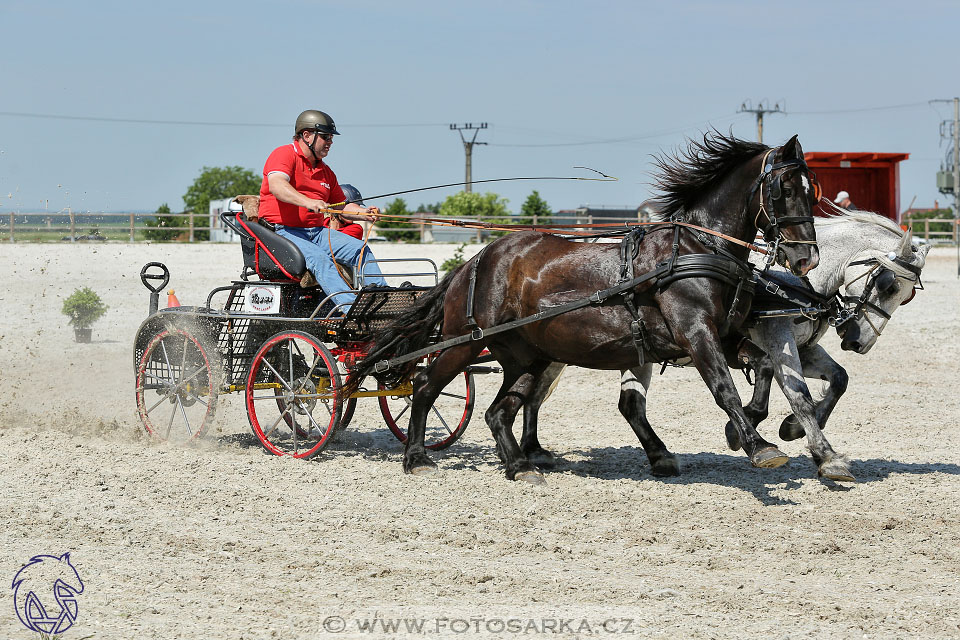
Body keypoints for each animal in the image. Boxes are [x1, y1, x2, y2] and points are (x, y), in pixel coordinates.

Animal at [348, 132, 820, 482]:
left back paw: (520, 465)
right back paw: (417, 458)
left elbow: (764, 367)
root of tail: (474, 261)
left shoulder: (723, 336)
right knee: (425, 385)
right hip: (464, 343)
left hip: (526, 356)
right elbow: (724, 388)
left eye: (811, 191)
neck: (697, 248)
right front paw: (758, 445)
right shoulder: (696, 334)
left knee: (499, 410)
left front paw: (764, 426)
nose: (806, 258)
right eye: (784, 189)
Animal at [524, 212, 928, 482]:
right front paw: (822, 454)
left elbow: (838, 379)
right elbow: (794, 392)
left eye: (908, 296)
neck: (794, 281)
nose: (859, 341)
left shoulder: (800, 347)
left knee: (624, 405)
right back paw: (532, 452)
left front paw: (789, 431)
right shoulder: (773, 338)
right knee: (534, 393)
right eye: (890, 284)